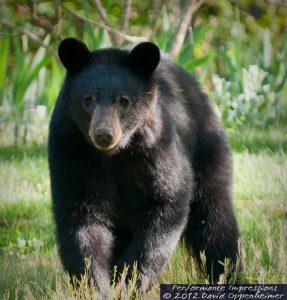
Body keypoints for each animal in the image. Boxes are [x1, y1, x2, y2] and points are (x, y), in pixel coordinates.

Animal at [49, 38, 241, 298]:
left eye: (124, 100)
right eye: (88, 100)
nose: (103, 134)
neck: (114, 155)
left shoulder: (156, 146)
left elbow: (167, 201)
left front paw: (128, 281)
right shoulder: (70, 149)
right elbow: (80, 219)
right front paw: (96, 286)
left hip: (206, 145)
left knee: (214, 217)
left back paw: (228, 274)